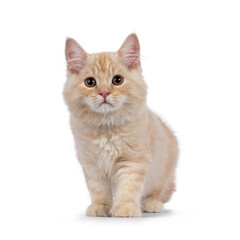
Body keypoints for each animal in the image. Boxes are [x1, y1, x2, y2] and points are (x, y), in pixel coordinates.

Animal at [63, 33, 178, 218]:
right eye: (90, 82)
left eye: (117, 80)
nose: (104, 92)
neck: (107, 126)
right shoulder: (92, 164)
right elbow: (98, 190)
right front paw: (100, 207)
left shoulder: (132, 160)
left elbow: (128, 186)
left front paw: (125, 208)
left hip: (164, 171)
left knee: (161, 192)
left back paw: (152, 204)